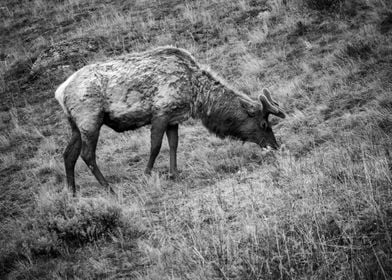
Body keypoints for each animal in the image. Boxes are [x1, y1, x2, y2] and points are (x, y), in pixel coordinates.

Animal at [56, 46, 284, 195]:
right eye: (264, 124)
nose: (276, 146)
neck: (196, 95)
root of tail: (60, 92)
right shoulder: (160, 112)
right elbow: (156, 146)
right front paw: (147, 173)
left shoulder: (174, 118)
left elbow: (173, 145)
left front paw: (174, 173)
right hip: (90, 118)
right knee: (87, 155)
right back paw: (108, 188)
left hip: (76, 125)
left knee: (68, 154)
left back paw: (72, 192)